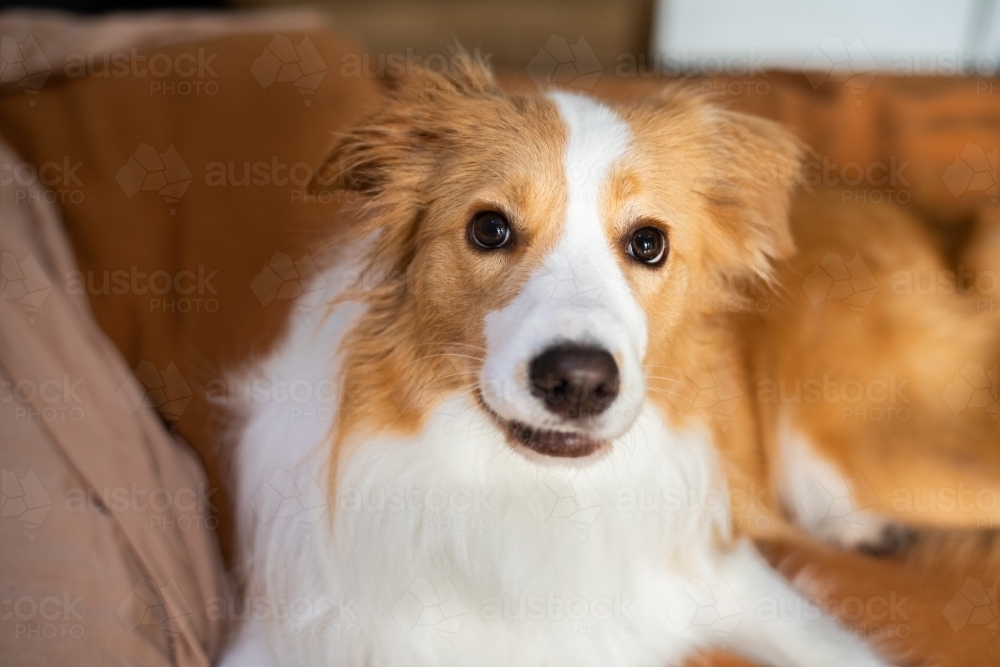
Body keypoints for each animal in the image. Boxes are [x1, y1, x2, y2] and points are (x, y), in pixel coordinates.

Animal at [221, 56, 1000, 667]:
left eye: (648, 242)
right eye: (489, 228)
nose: (578, 383)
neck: (530, 495)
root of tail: (941, 230)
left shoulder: (730, 580)